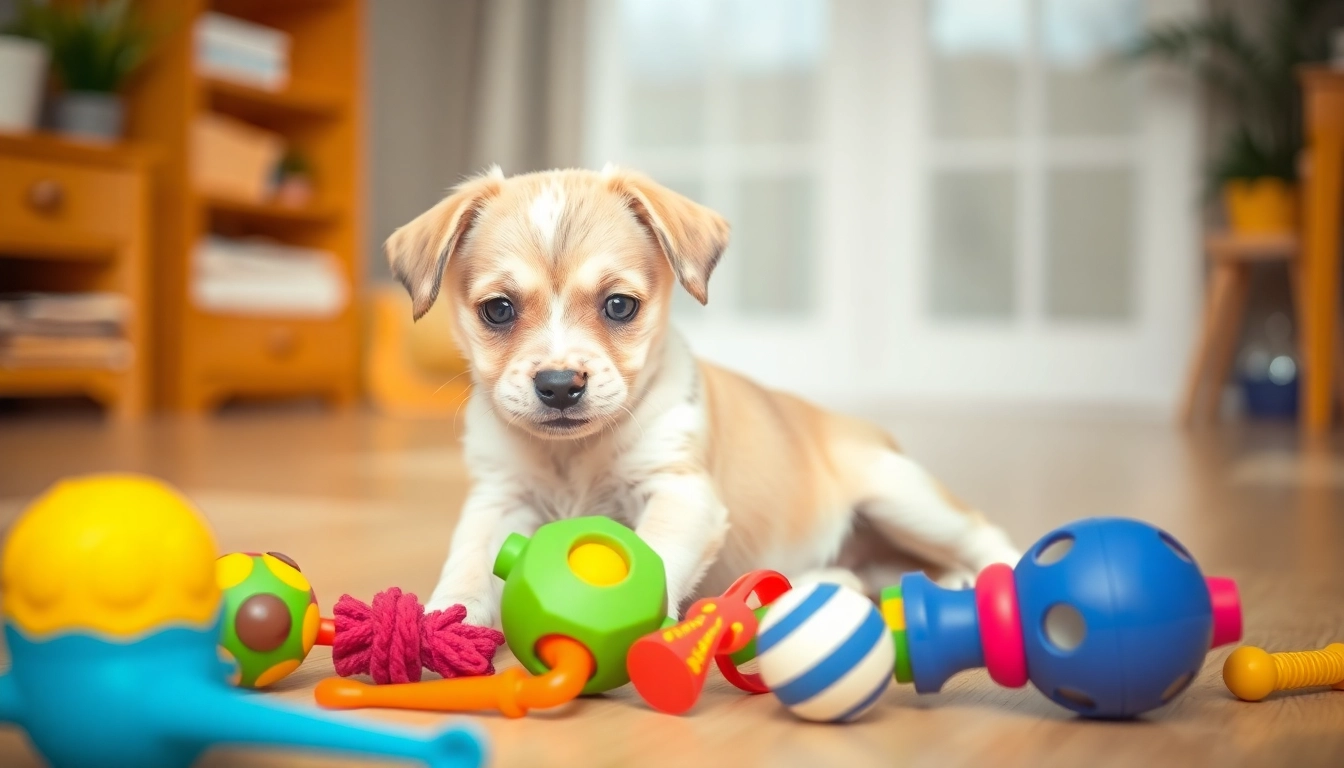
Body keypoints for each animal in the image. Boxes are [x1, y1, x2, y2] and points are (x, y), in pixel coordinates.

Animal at [389, 165, 1016, 626]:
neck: (575, 456)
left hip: (901, 496)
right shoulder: (498, 500)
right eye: (498, 310)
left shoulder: (679, 493)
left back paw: (1005, 580)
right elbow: (469, 560)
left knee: (980, 533)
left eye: (619, 305)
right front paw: (448, 618)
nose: (560, 386)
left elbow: (654, 557)